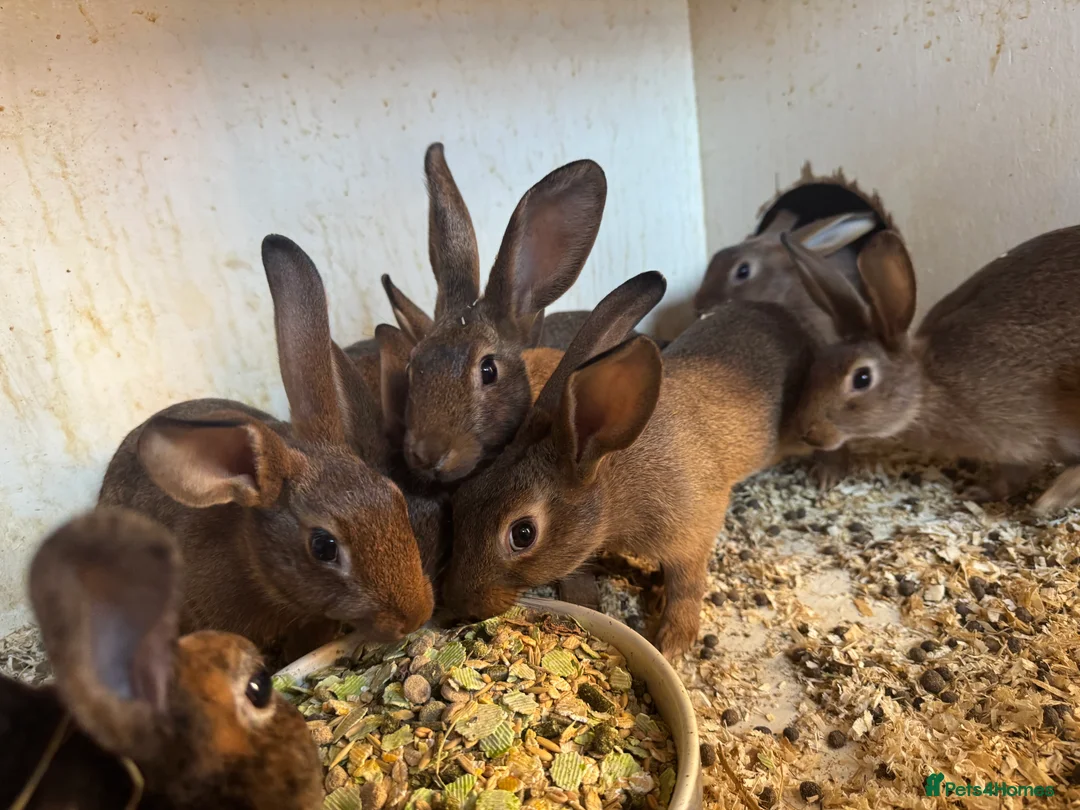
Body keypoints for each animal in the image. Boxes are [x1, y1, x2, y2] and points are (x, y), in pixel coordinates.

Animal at [442, 271, 814, 658]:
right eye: (463, 498)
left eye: (523, 534)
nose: (458, 605)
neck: (610, 482)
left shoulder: (690, 535)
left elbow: (687, 585)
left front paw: (672, 642)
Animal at [783, 225, 1080, 513]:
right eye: (817, 365)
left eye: (862, 378)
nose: (808, 432)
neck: (926, 388)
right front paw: (976, 492)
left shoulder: (1021, 437)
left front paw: (1038, 501)